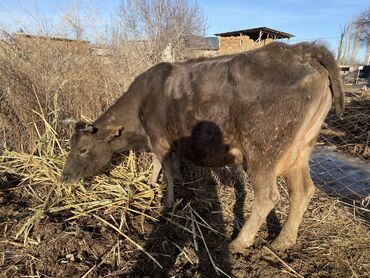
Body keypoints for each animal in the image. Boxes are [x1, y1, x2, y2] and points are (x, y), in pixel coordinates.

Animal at [61, 41, 344, 252]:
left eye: (83, 149)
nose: (64, 177)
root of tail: (301, 50)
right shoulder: (159, 142)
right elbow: (157, 167)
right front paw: (151, 185)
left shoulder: (161, 141)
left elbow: (169, 173)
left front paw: (167, 203)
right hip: (299, 150)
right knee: (302, 191)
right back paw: (283, 241)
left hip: (262, 151)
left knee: (268, 196)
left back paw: (240, 242)